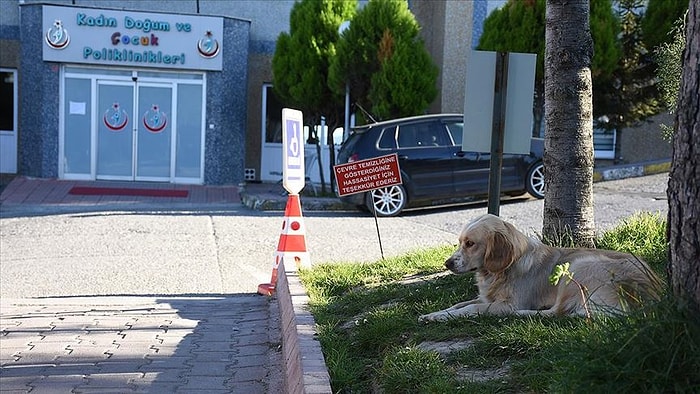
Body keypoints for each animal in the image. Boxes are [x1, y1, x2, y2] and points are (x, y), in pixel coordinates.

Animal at [418, 214, 660, 322]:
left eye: (470, 243)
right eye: (460, 242)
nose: (447, 263)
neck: (501, 271)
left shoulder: (506, 303)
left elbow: (470, 309)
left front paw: (440, 316)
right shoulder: (486, 297)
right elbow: (460, 304)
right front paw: (434, 314)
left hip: (579, 265)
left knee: (557, 312)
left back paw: (522, 315)